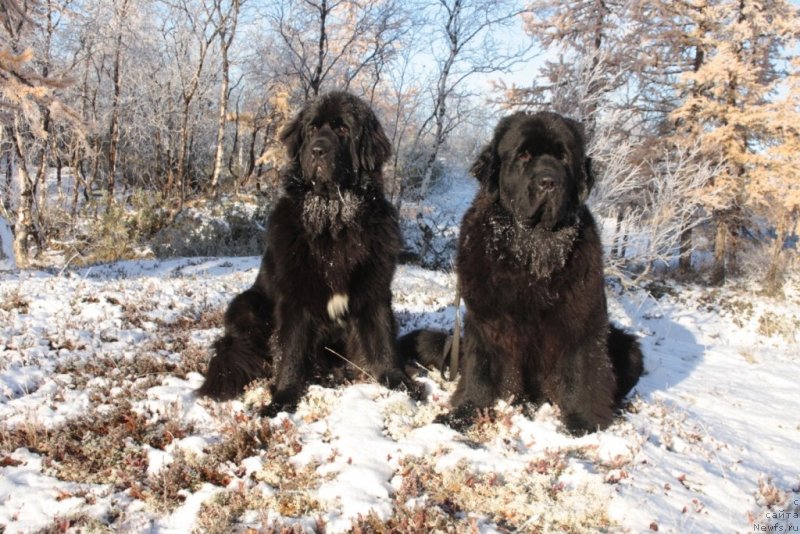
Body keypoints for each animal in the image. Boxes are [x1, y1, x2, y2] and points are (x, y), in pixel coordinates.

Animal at [198, 92, 424, 416]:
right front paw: (282, 399)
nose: (317, 151)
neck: (333, 218)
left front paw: (400, 382)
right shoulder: (295, 299)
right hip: (246, 304)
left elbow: (383, 342)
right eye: (312, 129)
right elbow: (291, 352)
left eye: (343, 129)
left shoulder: (375, 291)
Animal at [400, 112, 644, 436]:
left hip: (630, 350)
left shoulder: (582, 320)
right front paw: (465, 413)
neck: (532, 252)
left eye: (564, 158)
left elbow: (583, 369)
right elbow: (480, 371)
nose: (549, 181)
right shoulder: (486, 324)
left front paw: (583, 423)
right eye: (524, 155)